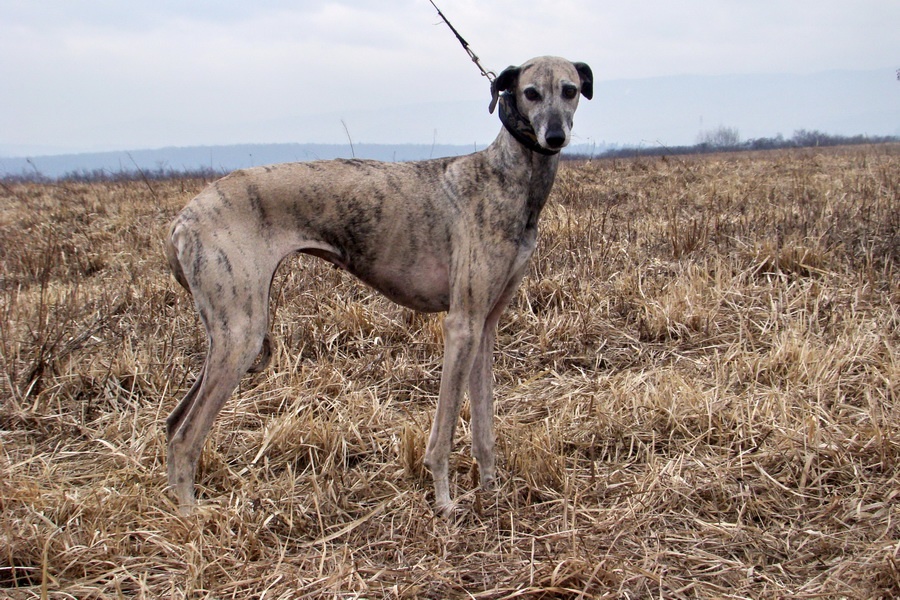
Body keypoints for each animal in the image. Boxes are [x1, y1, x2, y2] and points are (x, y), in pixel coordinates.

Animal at [165, 57, 596, 516]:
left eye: (569, 90)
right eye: (531, 93)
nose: (555, 137)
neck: (507, 177)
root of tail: (183, 219)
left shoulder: (486, 326)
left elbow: (484, 427)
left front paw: (491, 492)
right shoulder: (461, 325)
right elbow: (443, 432)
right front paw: (444, 503)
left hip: (229, 333)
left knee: (173, 423)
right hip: (241, 334)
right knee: (185, 437)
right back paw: (191, 518)